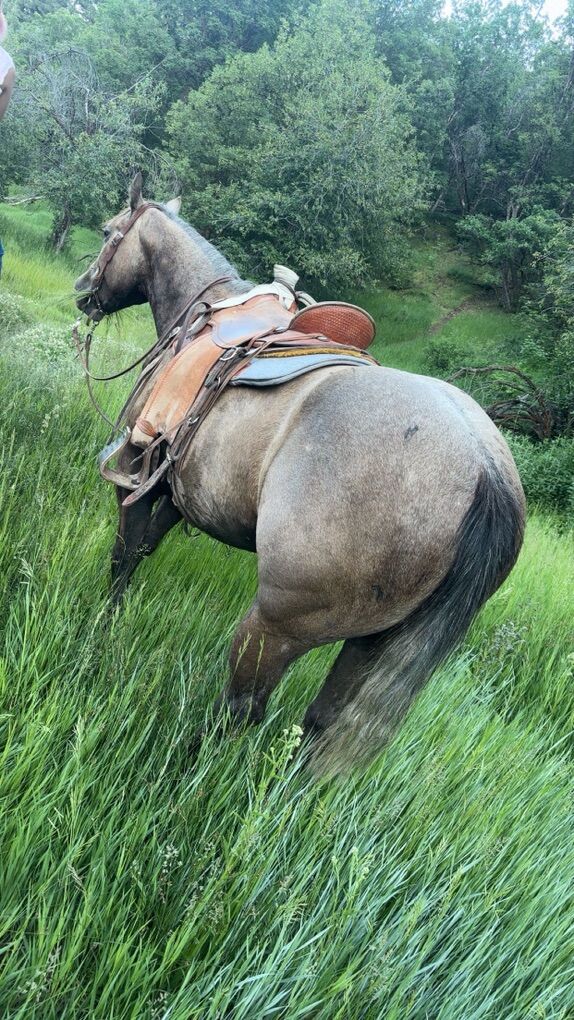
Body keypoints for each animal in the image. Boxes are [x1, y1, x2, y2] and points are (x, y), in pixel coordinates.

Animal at [74, 175, 525, 771]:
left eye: (109, 232)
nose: (83, 290)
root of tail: (485, 472)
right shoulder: (174, 490)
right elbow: (143, 550)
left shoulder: (136, 474)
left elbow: (122, 561)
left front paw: (102, 629)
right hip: (372, 644)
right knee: (323, 729)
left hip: (277, 625)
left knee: (242, 707)